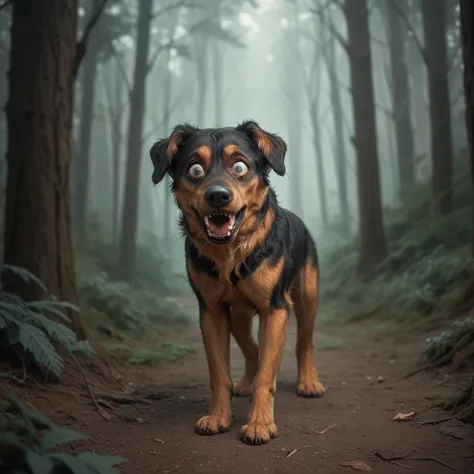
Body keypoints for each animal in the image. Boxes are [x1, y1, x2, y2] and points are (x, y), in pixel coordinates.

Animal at [150, 119, 324, 444]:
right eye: (195, 169)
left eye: (240, 167)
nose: (218, 195)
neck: (231, 254)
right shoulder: (211, 312)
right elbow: (219, 373)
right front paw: (218, 417)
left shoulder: (275, 309)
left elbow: (267, 376)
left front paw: (259, 425)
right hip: (239, 315)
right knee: (253, 347)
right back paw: (245, 381)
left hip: (308, 294)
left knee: (304, 342)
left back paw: (308, 382)